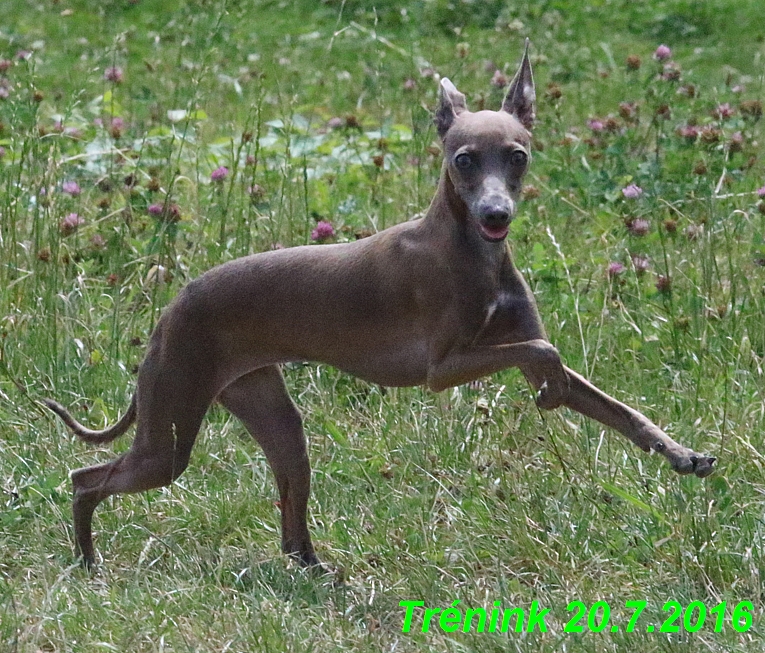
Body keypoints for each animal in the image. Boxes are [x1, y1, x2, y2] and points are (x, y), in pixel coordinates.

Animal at [44, 43, 712, 568]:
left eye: (517, 155)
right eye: (464, 159)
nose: (497, 215)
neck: (470, 251)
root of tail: (169, 310)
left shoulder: (515, 352)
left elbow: (616, 407)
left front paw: (680, 453)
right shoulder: (441, 369)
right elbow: (541, 350)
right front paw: (549, 390)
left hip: (269, 415)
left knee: (289, 520)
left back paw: (313, 568)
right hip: (170, 437)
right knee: (84, 479)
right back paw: (88, 560)